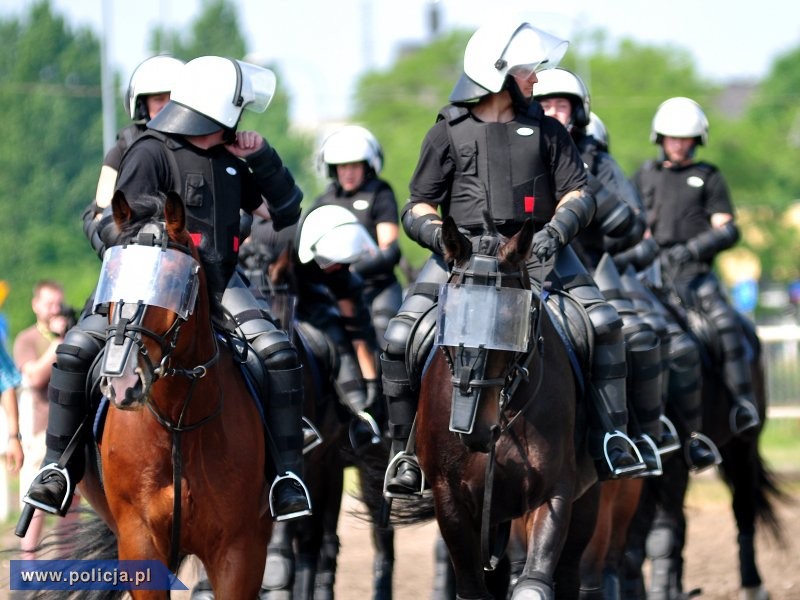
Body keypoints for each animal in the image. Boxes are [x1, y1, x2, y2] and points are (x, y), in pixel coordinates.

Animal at [23, 191, 274, 596]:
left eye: (170, 280)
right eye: (112, 278)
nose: (122, 382)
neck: (178, 424)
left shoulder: (239, 551)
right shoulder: (139, 541)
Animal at [394, 218, 600, 600]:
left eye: (508, 321)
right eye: (450, 316)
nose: (473, 429)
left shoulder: (554, 492)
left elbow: (533, 585)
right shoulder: (451, 499)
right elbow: (472, 587)